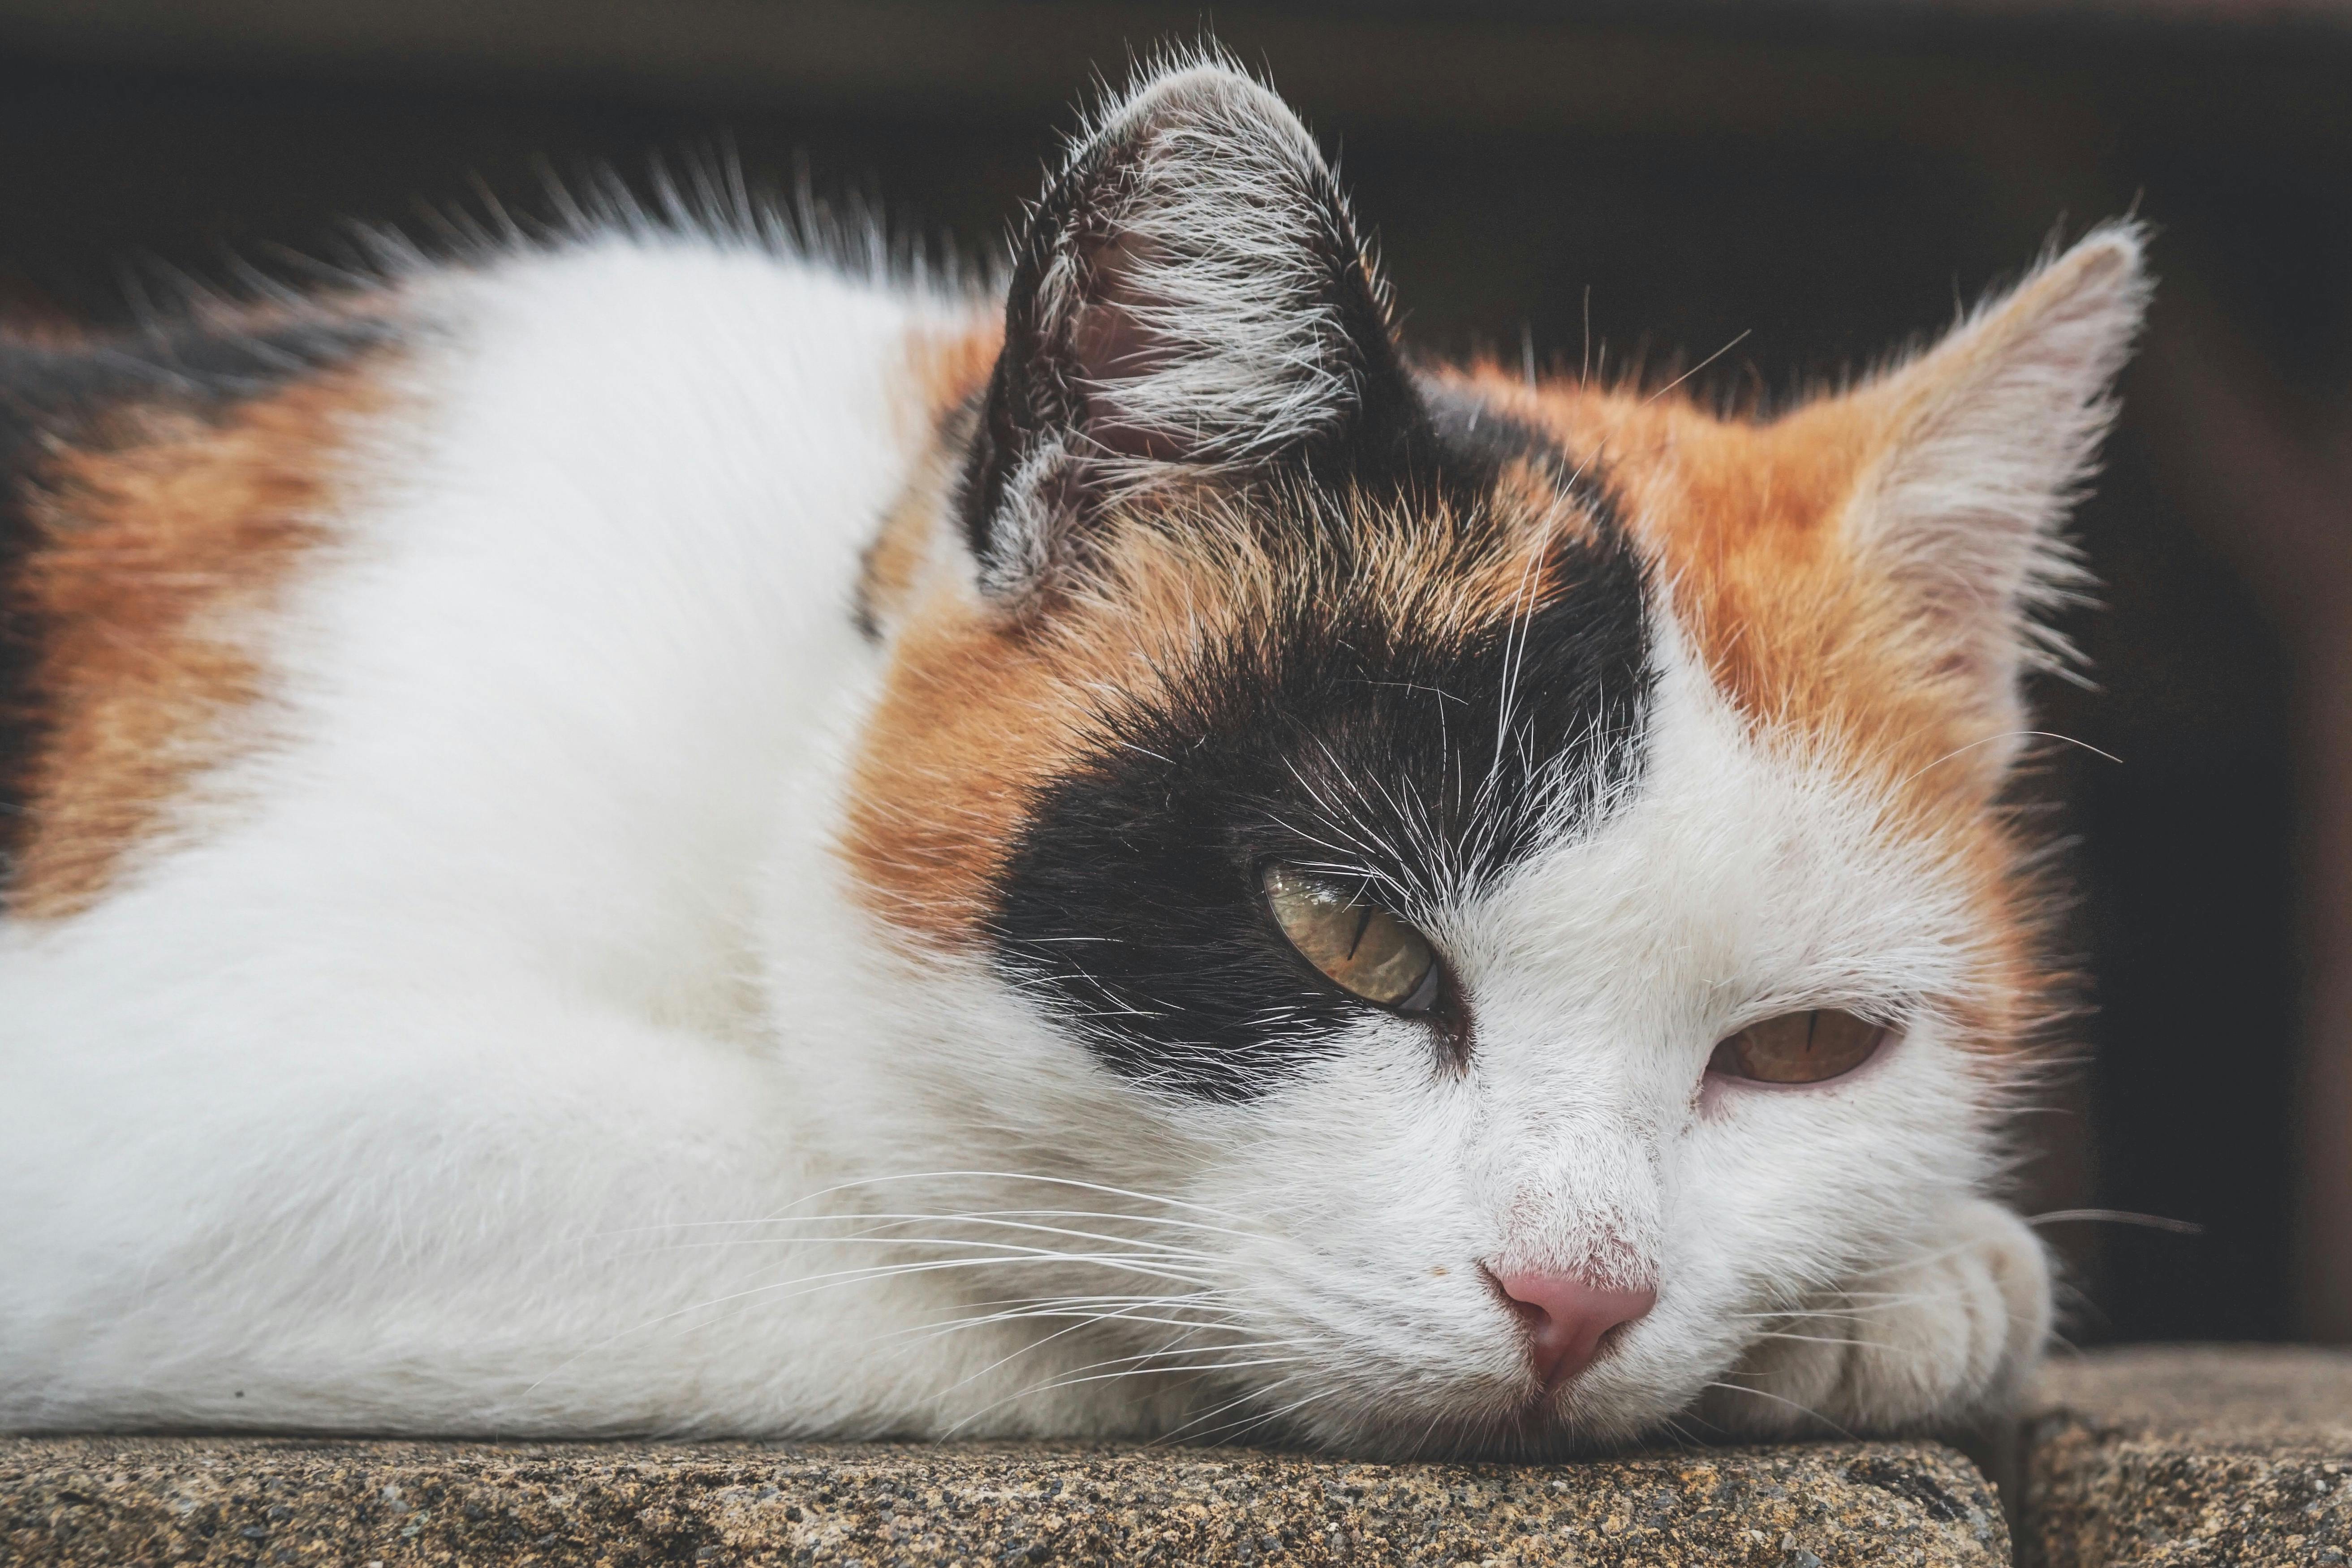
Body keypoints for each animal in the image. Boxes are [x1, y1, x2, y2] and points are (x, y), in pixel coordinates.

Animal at [0, 61, 2145, 1457]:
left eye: (1803, 1048)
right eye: (1345, 936)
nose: (1579, 1297)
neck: (785, 677)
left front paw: (1887, 1292)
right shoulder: (185, 1101)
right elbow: (982, 1227)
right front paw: (1933, 1290)